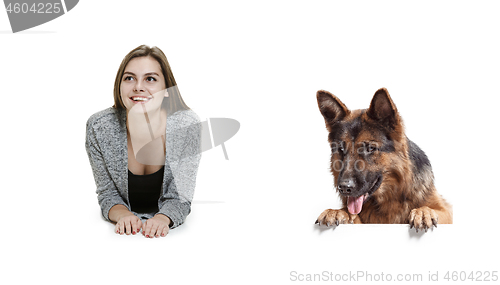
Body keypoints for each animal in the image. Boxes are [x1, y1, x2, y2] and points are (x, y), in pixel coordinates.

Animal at [314, 87, 452, 231]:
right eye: (341, 149)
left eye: (370, 148)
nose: (345, 188)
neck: (388, 198)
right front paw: (337, 212)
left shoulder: (446, 210)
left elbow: (435, 209)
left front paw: (424, 212)